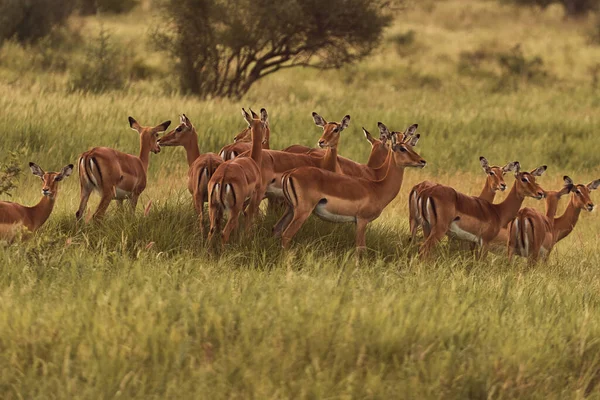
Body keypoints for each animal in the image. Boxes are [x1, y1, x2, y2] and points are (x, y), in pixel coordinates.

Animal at [209, 107, 268, 244]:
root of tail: (222, 178)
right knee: (224, 232)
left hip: (214, 207)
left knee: (212, 230)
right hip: (233, 208)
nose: (236, 137)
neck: (253, 161)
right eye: (265, 124)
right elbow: (249, 214)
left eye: (249, 126)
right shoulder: (255, 195)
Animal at [274, 123, 424, 252]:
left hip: (290, 209)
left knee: (277, 229)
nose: (422, 161)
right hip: (302, 212)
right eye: (402, 148)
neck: (377, 187)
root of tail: (290, 173)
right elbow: (360, 248)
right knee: (286, 235)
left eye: (412, 147)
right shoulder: (362, 221)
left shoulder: (356, 223)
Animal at [420, 163, 548, 260]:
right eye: (524, 179)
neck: (498, 211)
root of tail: (428, 192)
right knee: (424, 249)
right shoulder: (485, 241)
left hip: (427, 228)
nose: (540, 193)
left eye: (534, 179)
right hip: (439, 230)